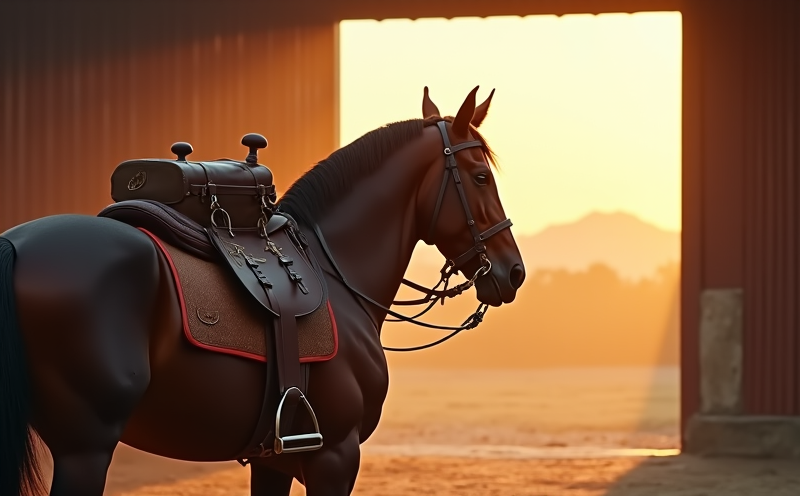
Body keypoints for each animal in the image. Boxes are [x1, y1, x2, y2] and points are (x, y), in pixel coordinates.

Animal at [0, 86, 525, 496]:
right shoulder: (335, 455)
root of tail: (15, 244)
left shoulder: (275, 458)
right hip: (86, 448)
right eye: (481, 176)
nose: (514, 271)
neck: (334, 272)